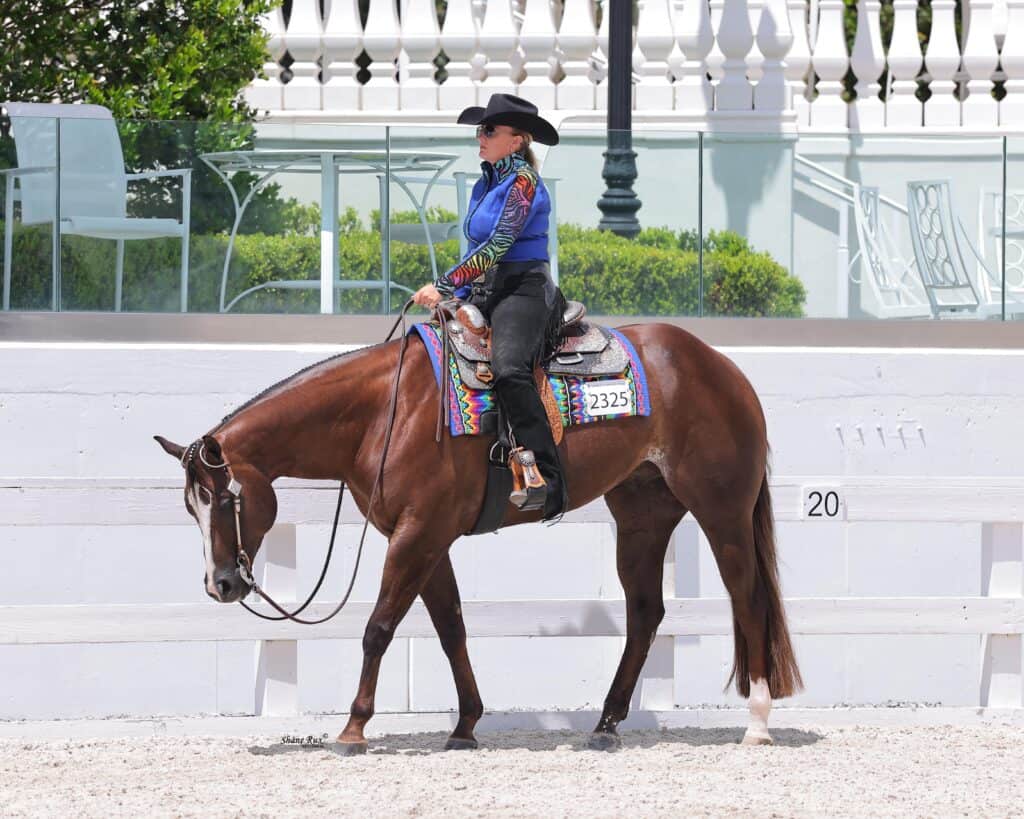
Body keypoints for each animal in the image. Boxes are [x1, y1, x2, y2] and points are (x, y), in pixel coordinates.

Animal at [154, 321, 802, 753]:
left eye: (224, 498)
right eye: (190, 505)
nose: (221, 584)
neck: (384, 411)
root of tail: (720, 366)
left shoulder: (416, 535)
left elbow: (378, 628)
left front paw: (355, 726)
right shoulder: (428, 538)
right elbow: (451, 628)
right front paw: (465, 725)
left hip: (721, 511)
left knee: (748, 598)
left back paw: (757, 722)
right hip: (643, 515)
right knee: (645, 612)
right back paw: (606, 724)